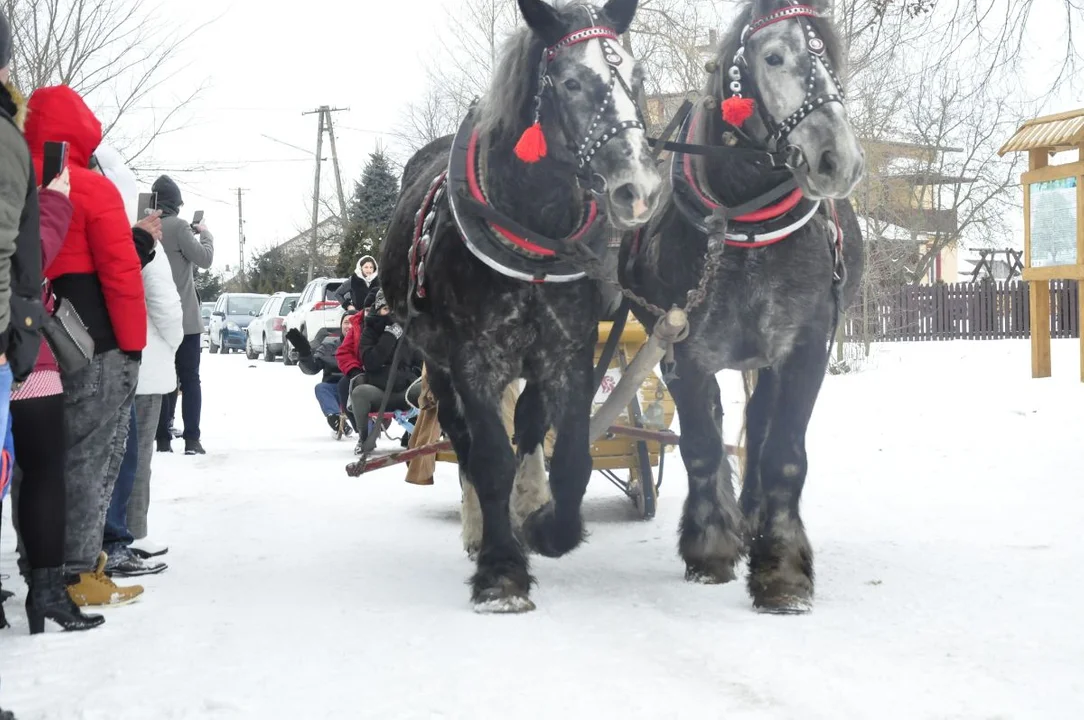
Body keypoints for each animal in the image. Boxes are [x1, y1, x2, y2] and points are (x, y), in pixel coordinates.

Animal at [381, 0, 659, 611]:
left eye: (638, 76)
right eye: (572, 82)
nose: (639, 190)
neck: (533, 233)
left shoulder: (569, 352)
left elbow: (572, 456)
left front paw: (547, 527)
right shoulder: (473, 360)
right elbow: (487, 457)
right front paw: (501, 569)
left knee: (530, 421)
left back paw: (529, 502)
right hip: (437, 363)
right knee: (463, 440)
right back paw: (479, 526)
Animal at [620, 0, 862, 611]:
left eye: (833, 54)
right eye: (773, 57)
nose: (839, 160)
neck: (739, 224)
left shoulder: (805, 347)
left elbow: (783, 453)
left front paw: (781, 568)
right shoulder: (679, 351)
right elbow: (701, 446)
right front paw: (709, 548)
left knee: (759, 421)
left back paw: (752, 518)